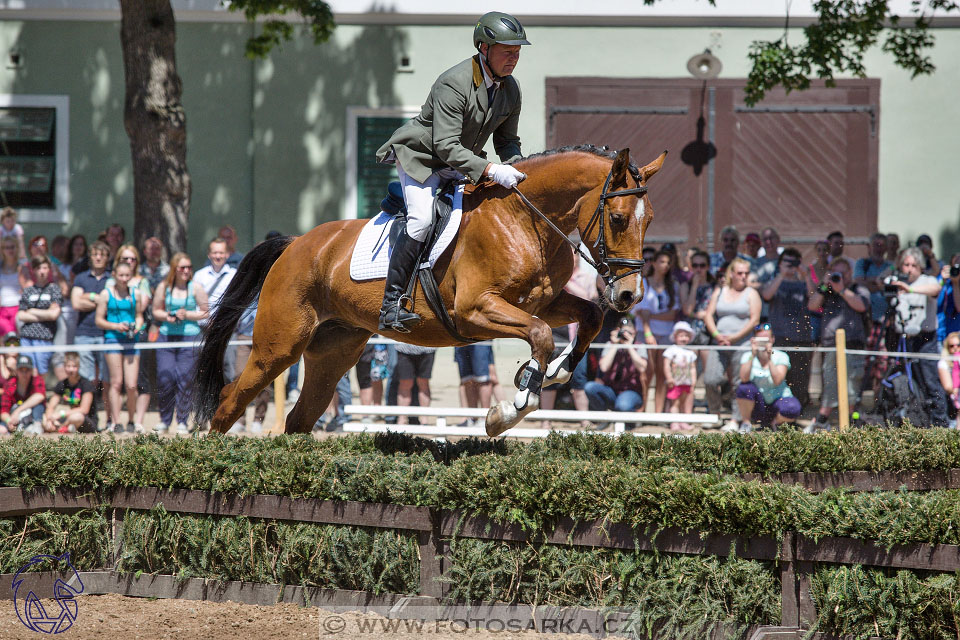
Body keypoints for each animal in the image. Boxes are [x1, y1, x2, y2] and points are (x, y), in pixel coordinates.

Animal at [191, 143, 664, 438]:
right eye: (619, 219)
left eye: (650, 220)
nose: (630, 296)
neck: (525, 220)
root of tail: (294, 245)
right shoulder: (475, 310)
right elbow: (541, 335)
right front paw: (510, 408)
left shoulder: (543, 302)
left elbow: (589, 318)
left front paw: (558, 371)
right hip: (279, 345)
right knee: (231, 401)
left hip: (334, 350)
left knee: (301, 417)